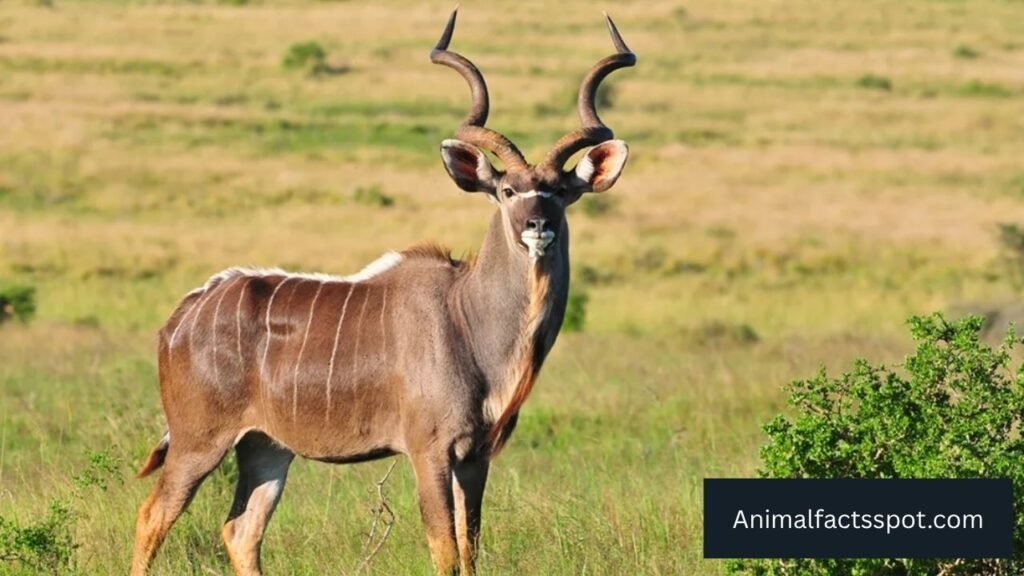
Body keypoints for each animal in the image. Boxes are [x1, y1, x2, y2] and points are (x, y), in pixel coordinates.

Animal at [130, 9, 635, 576]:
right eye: (508, 190)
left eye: (562, 192)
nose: (537, 226)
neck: (468, 321)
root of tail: (182, 315)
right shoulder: (429, 450)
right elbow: (445, 549)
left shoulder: (475, 457)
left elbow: (470, 548)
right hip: (199, 441)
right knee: (153, 517)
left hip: (265, 447)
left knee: (241, 529)